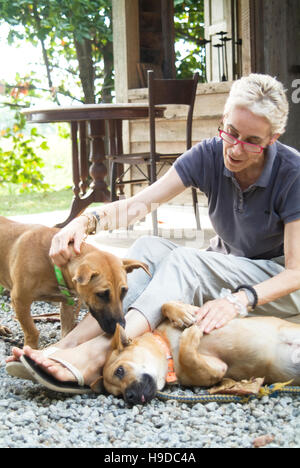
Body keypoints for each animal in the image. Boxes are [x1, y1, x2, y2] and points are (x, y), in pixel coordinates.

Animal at [0, 217, 149, 348]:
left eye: (124, 292)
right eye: (101, 294)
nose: (120, 326)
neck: (52, 264)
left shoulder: (68, 305)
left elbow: (67, 332)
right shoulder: (19, 300)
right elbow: (32, 331)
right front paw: (30, 347)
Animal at [102, 300, 300, 406]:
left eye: (119, 370)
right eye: (118, 394)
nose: (129, 398)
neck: (168, 347)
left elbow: (165, 305)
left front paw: (183, 313)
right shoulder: (216, 369)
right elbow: (187, 354)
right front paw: (191, 333)